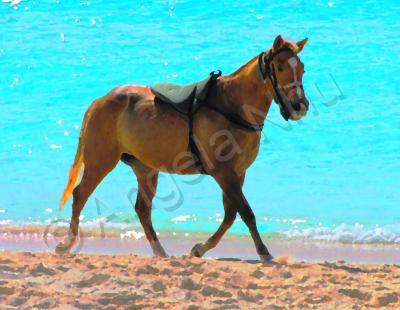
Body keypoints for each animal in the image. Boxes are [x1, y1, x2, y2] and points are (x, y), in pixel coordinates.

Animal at [56, 35, 310, 262]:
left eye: (302, 69)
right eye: (280, 67)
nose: (300, 106)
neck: (232, 106)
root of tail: (99, 101)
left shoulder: (237, 173)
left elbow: (231, 215)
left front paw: (200, 248)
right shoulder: (224, 173)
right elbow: (246, 213)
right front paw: (263, 252)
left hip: (145, 169)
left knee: (142, 209)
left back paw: (159, 251)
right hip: (100, 161)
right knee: (80, 195)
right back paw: (67, 242)